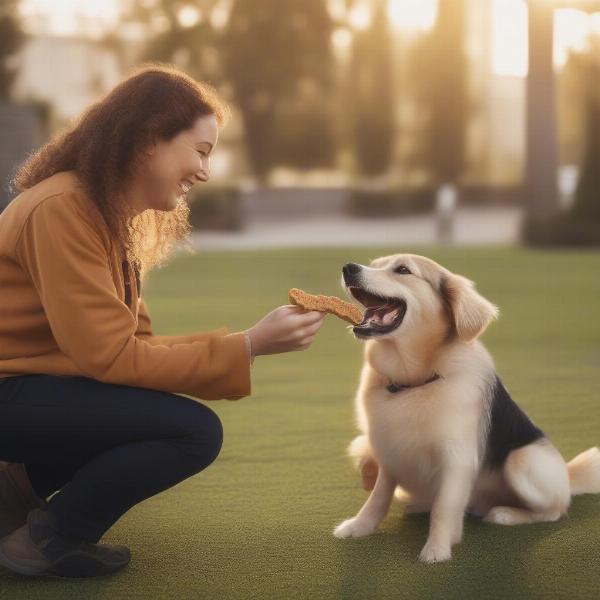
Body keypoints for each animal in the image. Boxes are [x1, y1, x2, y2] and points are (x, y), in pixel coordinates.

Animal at [332, 252, 600, 564]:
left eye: (403, 270)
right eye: (374, 264)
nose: (349, 268)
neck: (413, 382)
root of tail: (568, 477)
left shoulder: (456, 460)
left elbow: (444, 508)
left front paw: (437, 550)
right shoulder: (388, 451)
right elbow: (378, 497)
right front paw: (360, 526)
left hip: (522, 460)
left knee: (555, 510)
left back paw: (505, 514)